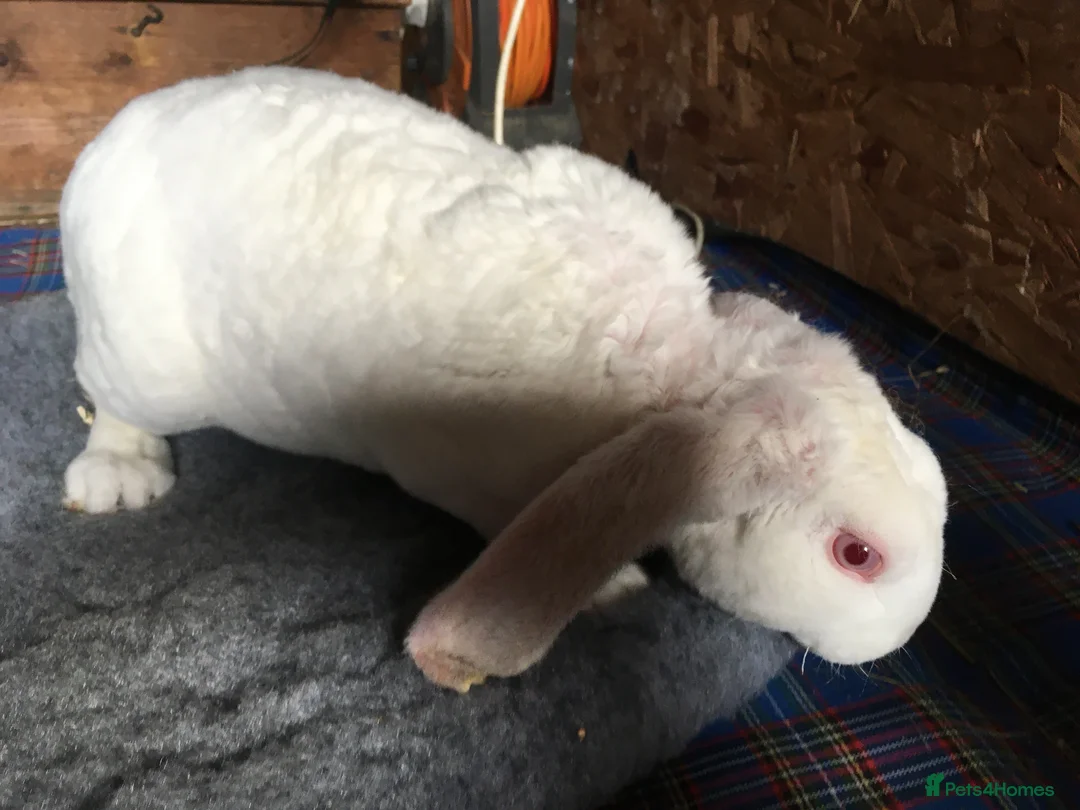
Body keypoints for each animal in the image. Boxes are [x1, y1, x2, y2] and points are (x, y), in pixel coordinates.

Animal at [58, 66, 949, 693]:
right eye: (857, 554)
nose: (895, 644)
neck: (683, 379)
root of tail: (106, 141)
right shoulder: (465, 466)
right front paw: (617, 587)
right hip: (143, 359)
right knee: (105, 392)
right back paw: (120, 478)